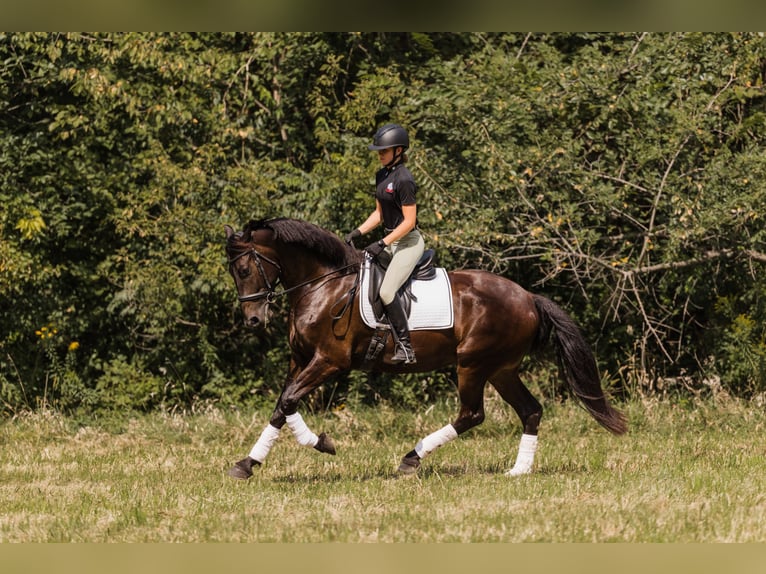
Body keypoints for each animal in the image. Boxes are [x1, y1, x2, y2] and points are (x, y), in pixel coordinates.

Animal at [224, 217, 627, 479]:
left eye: (243, 269)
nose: (253, 320)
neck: (323, 286)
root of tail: (528, 297)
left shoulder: (329, 361)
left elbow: (289, 399)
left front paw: (321, 443)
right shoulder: (301, 358)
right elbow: (283, 404)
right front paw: (248, 464)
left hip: (473, 365)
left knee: (472, 414)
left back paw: (411, 460)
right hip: (502, 370)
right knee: (530, 410)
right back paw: (519, 470)